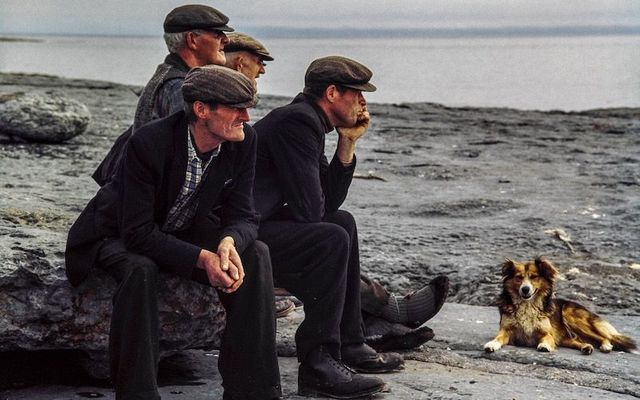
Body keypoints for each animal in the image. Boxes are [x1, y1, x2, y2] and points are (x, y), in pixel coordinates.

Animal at [484, 258, 636, 354]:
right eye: (518, 277)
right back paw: (586, 347)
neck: (528, 304)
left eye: (534, 277)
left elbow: (547, 339)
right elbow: (499, 337)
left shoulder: (547, 333)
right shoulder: (506, 330)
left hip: (572, 316)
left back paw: (605, 346)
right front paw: (492, 344)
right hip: (567, 337)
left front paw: (544, 345)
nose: (525, 289)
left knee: (604, 337)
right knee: (578, 340)